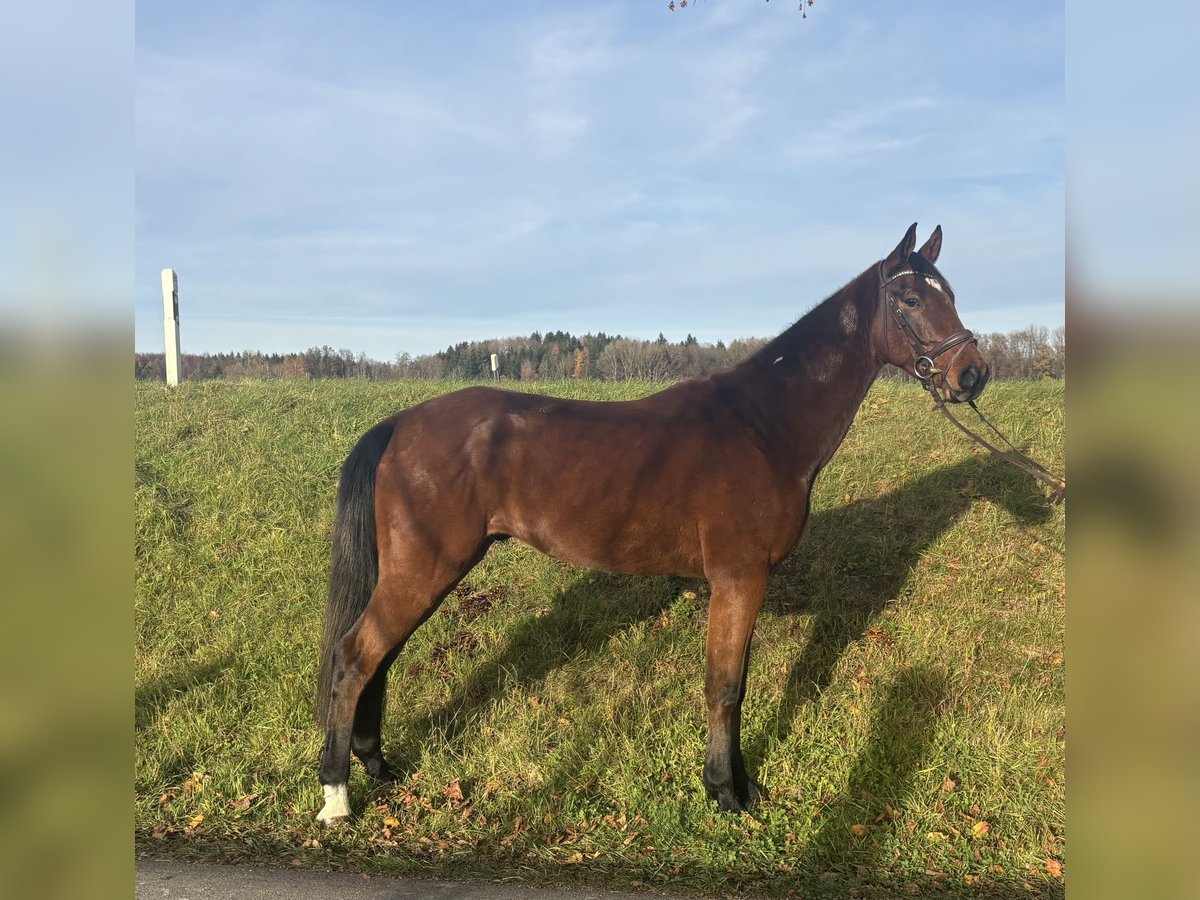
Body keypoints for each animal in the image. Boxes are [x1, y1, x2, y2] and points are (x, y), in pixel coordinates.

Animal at [314, 223, 990, 824]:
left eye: (953, 293)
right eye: (911, 299)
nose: (972, 373)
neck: (763, 426)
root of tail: (399, 424)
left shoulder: (744, 583)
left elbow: (735, 684)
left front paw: (740, 785)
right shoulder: (738, 578)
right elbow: (725, 687)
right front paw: (725, 793)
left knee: (379, 659)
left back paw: (378, 767)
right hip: (426, 568)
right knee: (355, 657)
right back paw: (337, 796)